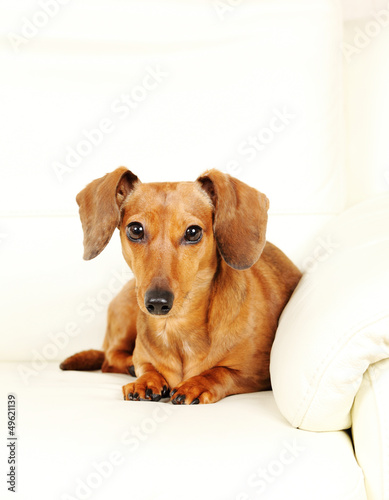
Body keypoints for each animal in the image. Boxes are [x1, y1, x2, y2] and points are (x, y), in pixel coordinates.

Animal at [60, 170, 300, 404]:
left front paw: (197, 383)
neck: (175, 327)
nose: (157, 303)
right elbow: (146, 366)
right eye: (135, 229)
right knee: (110, 357)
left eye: (193, 232)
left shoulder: (258, 374)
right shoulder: (143, 358)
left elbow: (221, 371)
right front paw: (145, 380)